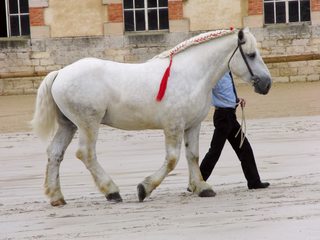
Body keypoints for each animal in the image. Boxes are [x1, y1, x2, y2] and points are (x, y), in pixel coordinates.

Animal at [31, 28, 270, 206]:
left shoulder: (191, 125)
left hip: (68, 125)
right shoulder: (173, 125)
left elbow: (192, 155)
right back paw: (112, 191)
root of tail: (60, 73)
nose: (267, 83)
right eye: (251, 55)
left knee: (55, 153)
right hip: (88, 124)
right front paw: (143, 189)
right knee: (86, 154)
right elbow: (172, 159)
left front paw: (201, 188)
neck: (191, 74)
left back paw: (57, 197)